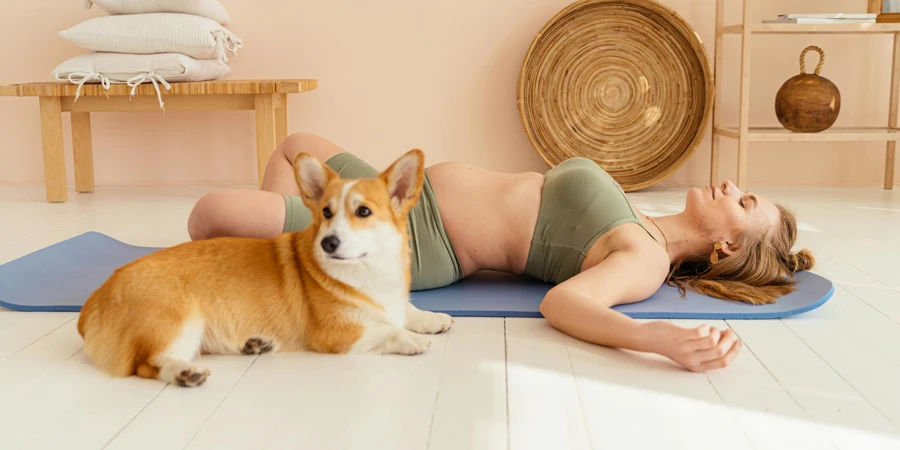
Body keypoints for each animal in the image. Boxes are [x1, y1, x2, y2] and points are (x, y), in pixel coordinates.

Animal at [77, 149, 454, 386]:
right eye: (326, 213)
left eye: (363, 212)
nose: (328, 243)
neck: (369, 270)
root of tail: (94, 301)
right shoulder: (338, 334)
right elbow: (386, 329)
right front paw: (409, 338)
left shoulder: (393, 301)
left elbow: (407, 309)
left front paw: (432, 319)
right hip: (180, 320)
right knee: (146, 364)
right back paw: (184, 373)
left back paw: (252, 345)